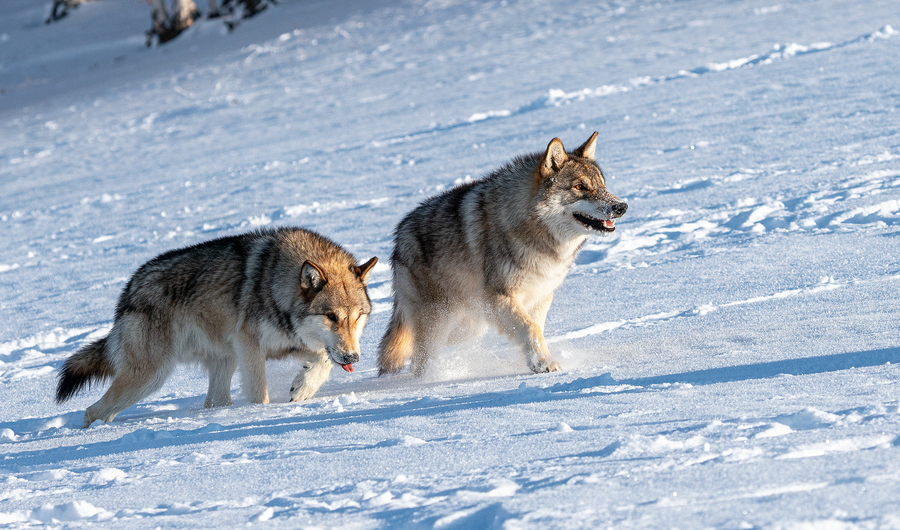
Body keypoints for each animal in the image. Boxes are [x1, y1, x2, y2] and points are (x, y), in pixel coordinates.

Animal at [55, 227, 380, 424]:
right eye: (331, 317)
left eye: (357, 316)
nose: (353, 357)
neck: (275, 284)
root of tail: (129, 290)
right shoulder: (251, 347)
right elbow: (260, 395)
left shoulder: (290, 344)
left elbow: (323, 359)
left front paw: (302, 388)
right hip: (150, 376)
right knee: (92, 411)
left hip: (223, 364)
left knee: (213, 404)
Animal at [378, 134, 624, 378]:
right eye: (580, 186)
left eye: (602, 184)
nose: (621, 206)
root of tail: (399, 235)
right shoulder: (500, 297)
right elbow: (531, 328)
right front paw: (544, 363)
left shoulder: (540, 297)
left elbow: (536, 328)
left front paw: (536, 360)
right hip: (442, 320)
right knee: (418, 359)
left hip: (470, 324)